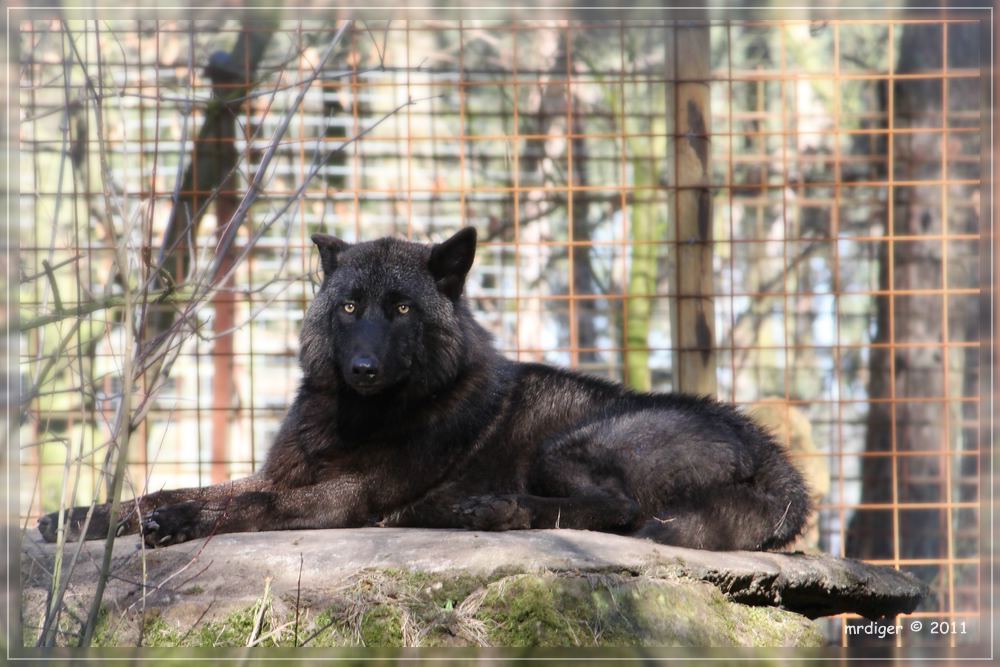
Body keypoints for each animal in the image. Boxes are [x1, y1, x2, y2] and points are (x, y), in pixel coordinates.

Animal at [39, 227, 812, 552]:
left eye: (404, 309)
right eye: (351, 306)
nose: (363, 369)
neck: (354, 418)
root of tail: (776, 460)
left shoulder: (340, 499)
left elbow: (244, 506)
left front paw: (178, 524)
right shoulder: (282, 471)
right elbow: (167, 489)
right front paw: (78, 518)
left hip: (569, 446)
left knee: (616, 510)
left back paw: (489, 510)